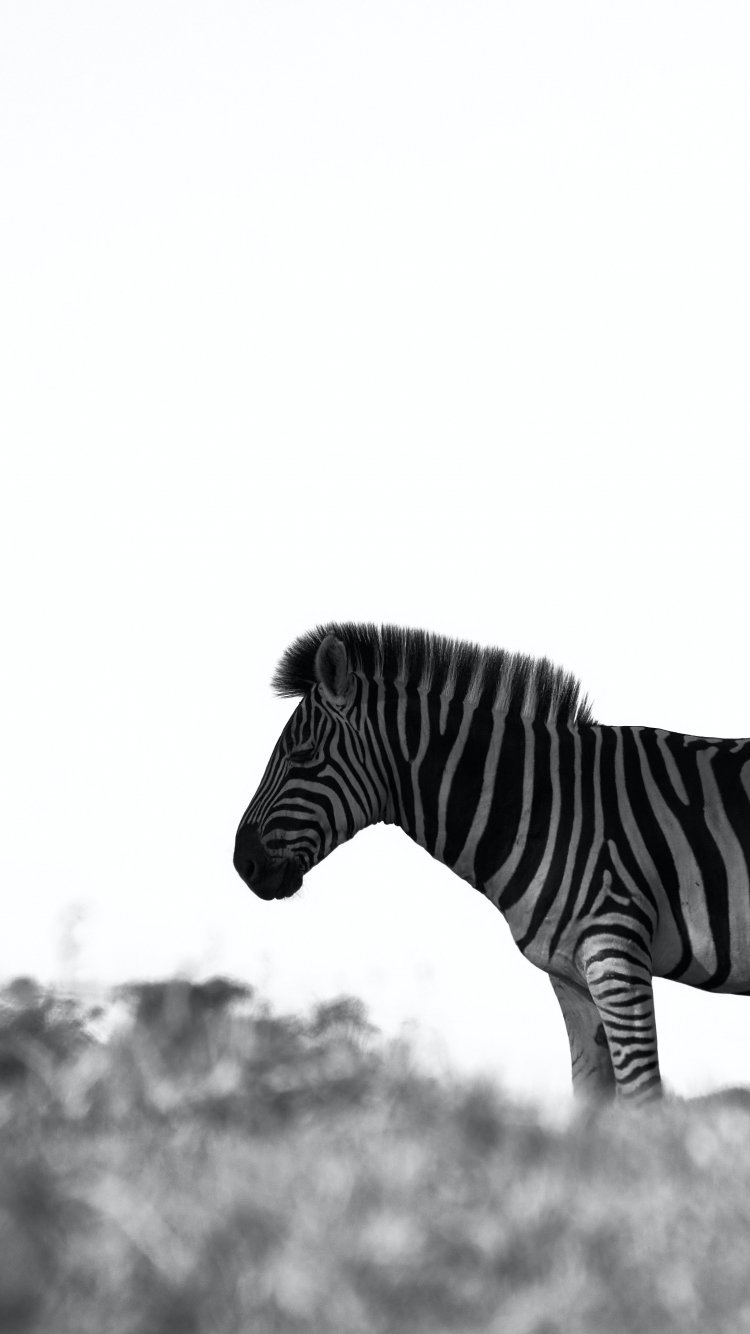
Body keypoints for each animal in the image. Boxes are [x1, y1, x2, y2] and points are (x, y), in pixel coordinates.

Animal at [234, 623, 750, 1101]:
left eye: (303, 755)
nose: (244, 863)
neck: (544, 805)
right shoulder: (571, 975)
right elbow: (589, 1105)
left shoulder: (616, 951)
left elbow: (642, 1097)